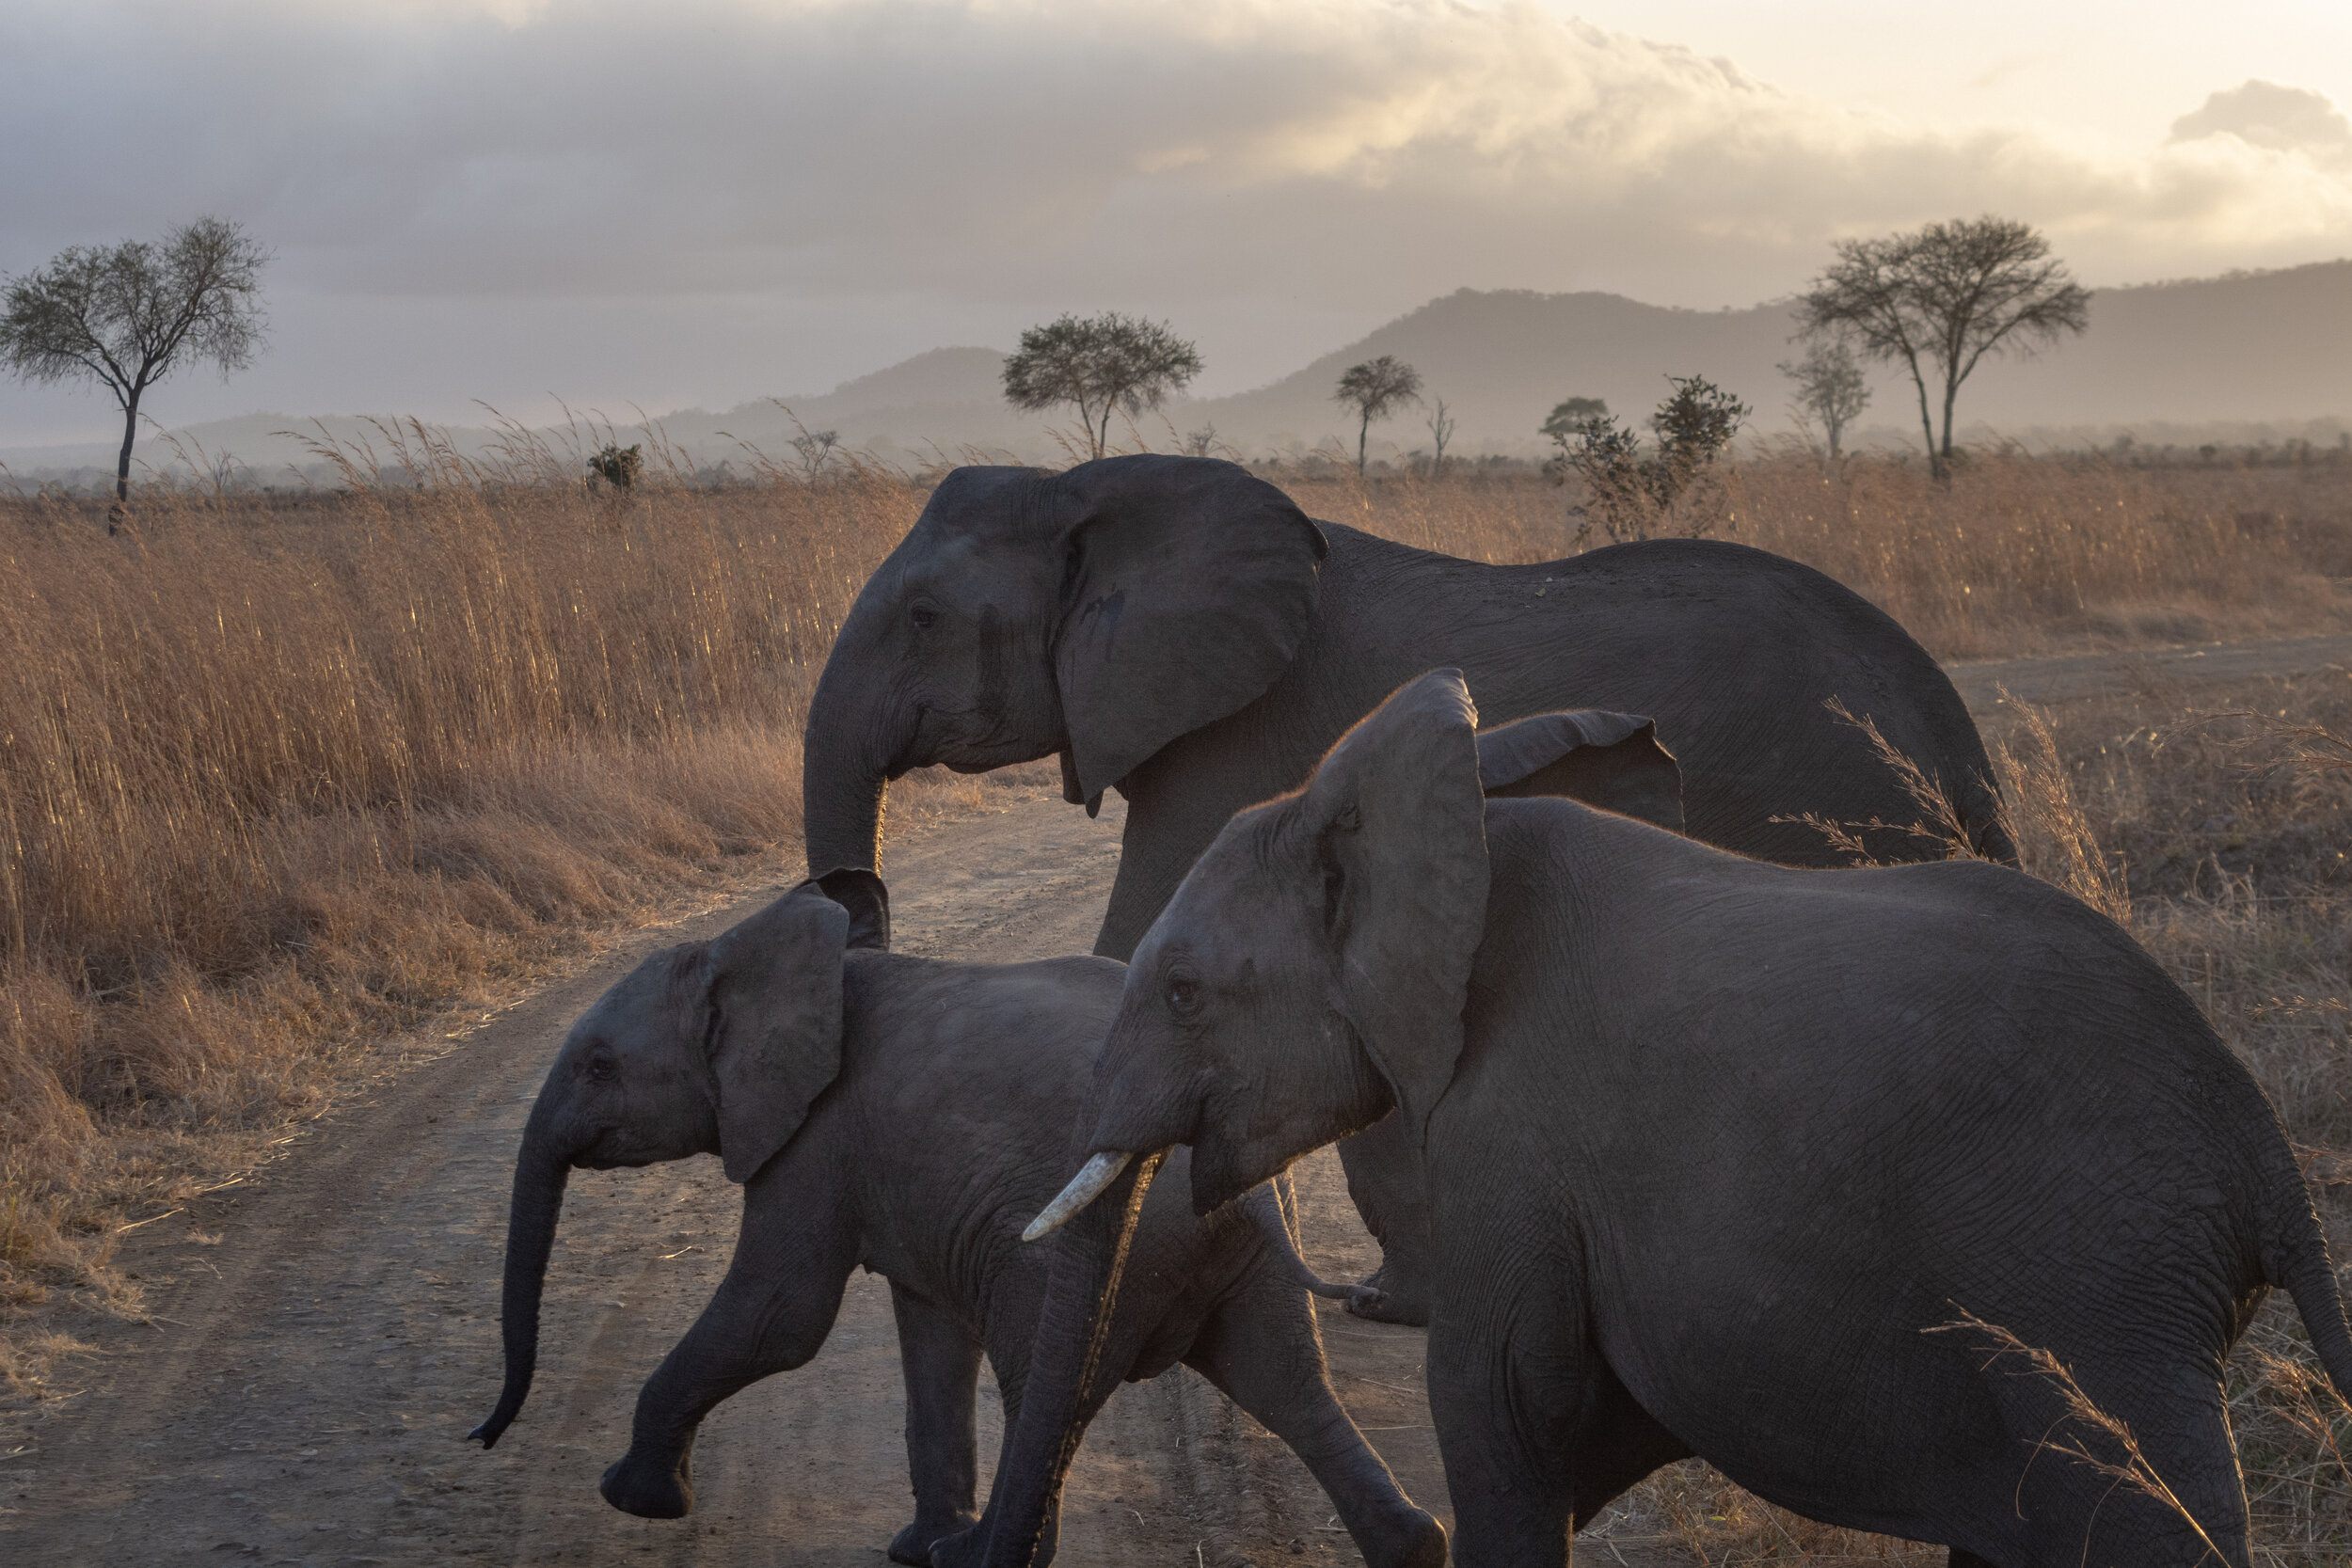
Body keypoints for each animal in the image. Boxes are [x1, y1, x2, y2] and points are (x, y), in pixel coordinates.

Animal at [468, 869, 1439, 1568]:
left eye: (599, 1066)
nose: (482, 1434)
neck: (748, 951)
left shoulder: (817, 1138)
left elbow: (780, 1315)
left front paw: (633, 1498)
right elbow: (928, 1330)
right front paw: (914, 1549)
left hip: (1080, 1252)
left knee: (1049, 1379)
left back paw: (984, 1556)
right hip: (1241, 1253)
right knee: (1286, 1379)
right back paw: (1414, 1544)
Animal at [804, 451, 2004, 1325]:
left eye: (922, 617)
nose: (855, 902)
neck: (1096, 486)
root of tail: (1950, 725)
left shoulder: (1236, 730)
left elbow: (1135, 937)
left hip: (1828, 805)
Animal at [1016, 667, 2352, 1560]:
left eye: (1181, 991)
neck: (1458, 838)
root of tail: (2264, 1158)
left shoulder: (1511, 1139)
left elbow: (1504, 1406)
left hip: (2093, 1282)